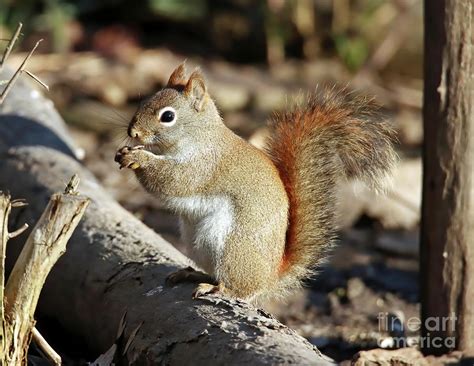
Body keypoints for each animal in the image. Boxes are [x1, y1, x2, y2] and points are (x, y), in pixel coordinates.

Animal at [115, 63, 396, 304]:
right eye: (145, 101)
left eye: (167, 116)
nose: (133, 133)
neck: (199, 136)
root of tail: (272, 275)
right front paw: (125, 152)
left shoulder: (205, 165)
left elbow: (173, 180)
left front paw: (138, 157)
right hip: (198, 244)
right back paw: (193, 274)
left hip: (231, 246)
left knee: (241, 289)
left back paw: (217, 289)